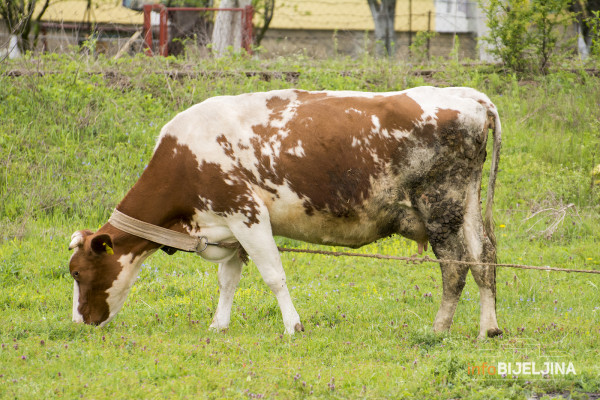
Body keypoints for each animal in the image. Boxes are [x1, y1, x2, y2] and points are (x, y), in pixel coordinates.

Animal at [69, 86, 502, 340]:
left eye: (76, 272)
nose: (78, 322)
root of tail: (469, 96)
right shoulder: (230, 226)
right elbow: (228, 279)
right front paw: (218, 325)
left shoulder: (246, 214)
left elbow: (273, 276)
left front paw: (293, 326)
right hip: (468, 203)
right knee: (484, 258)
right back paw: (489, 328)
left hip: (439, 205)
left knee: (455, 266)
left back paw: (438, 329)